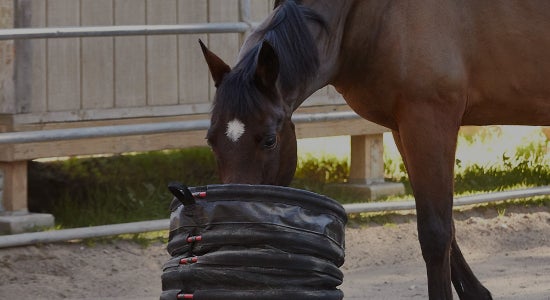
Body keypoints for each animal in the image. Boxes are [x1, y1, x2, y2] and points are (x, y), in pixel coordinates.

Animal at [202, 1, 550, 298]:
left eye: (270, 139)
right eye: (210, 139)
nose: (233, 224)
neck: (373, 12)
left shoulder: (429, 122)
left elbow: (436, 234)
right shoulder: (404, 129)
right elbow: (447, 224)